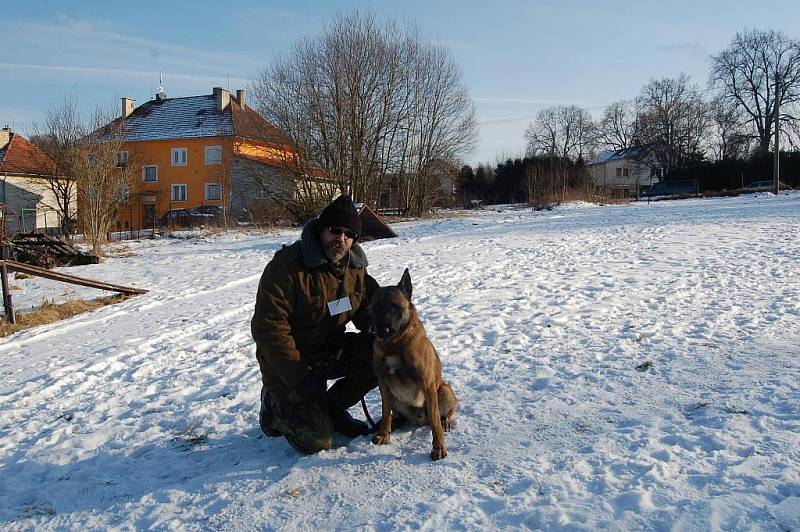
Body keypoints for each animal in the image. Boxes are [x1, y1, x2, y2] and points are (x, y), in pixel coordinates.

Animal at [370, 268, 456, 460]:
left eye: (394, 307)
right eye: (376, 308)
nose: (381, 331)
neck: (394, 345)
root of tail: (419, 419)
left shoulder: (427, 384)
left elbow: (435, 423)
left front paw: (439, 447)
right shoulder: (383, 383)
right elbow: (385, 412)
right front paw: (383, 433)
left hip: (444, 391)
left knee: (440, 417)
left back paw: (445, 422)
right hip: (396, 398)